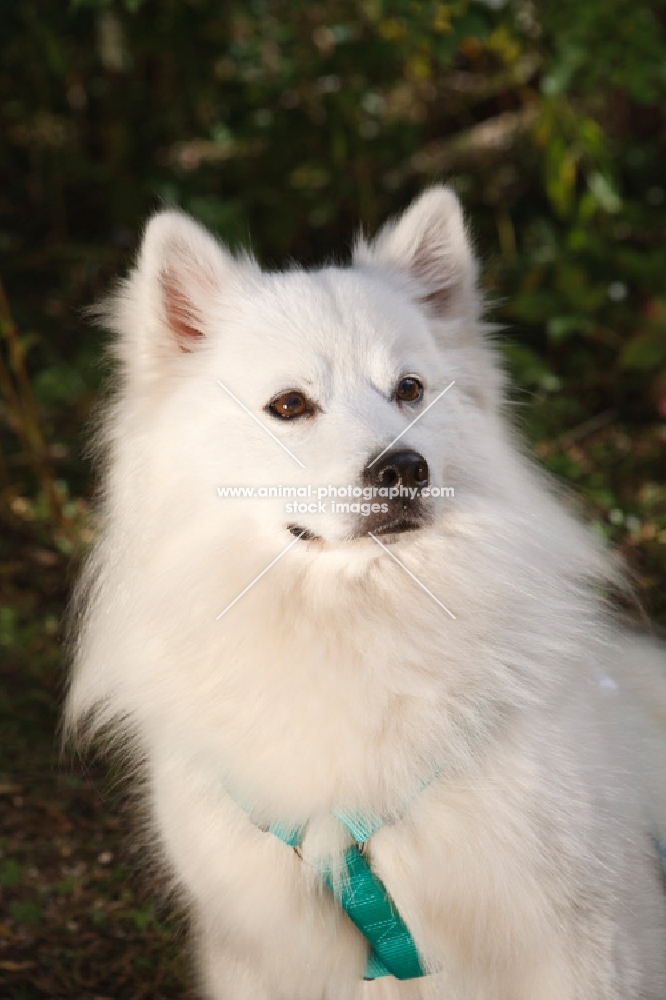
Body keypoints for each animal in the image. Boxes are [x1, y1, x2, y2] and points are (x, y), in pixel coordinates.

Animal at [66, 189, 664, 1000]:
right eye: (289, 405)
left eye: (408, 389)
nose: (404, 469)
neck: (356, 620)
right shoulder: (263, 954)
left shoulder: (581, 942)